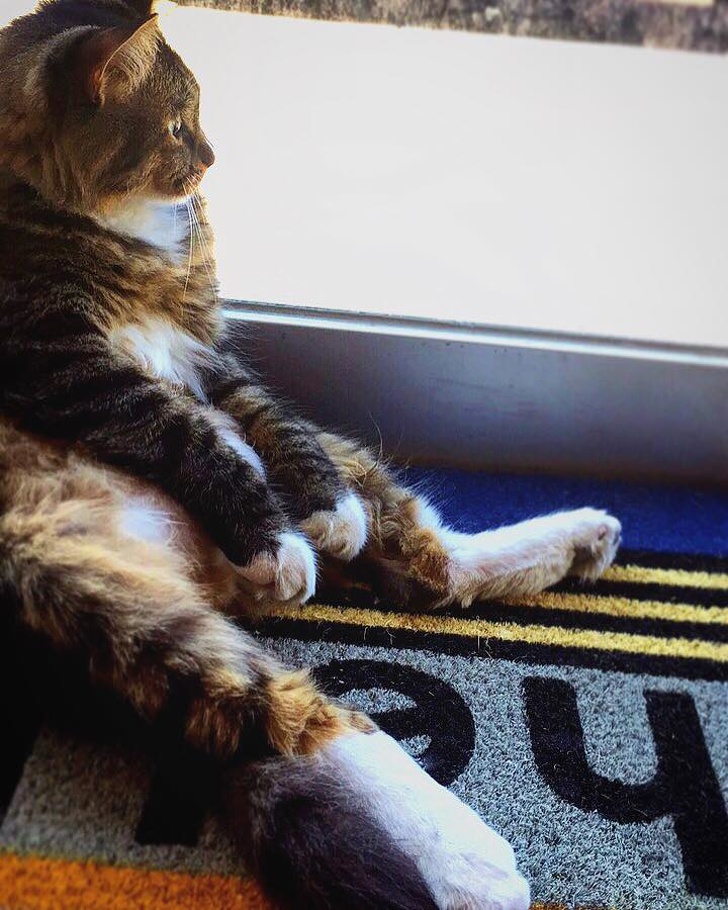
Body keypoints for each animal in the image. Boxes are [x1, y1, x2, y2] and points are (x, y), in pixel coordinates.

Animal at [0, 1, 621, 907]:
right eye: (179, 124)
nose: (213, 162)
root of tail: (197, 575)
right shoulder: (57, 361)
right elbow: (173, 425)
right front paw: (273, 538)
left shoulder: (214, 362)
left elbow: (270, 426)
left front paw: (321, 518)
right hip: (106, 606)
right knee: (299, 719)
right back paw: (469, 861)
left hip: (339, 463)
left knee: (431, 568)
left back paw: (578, 539)